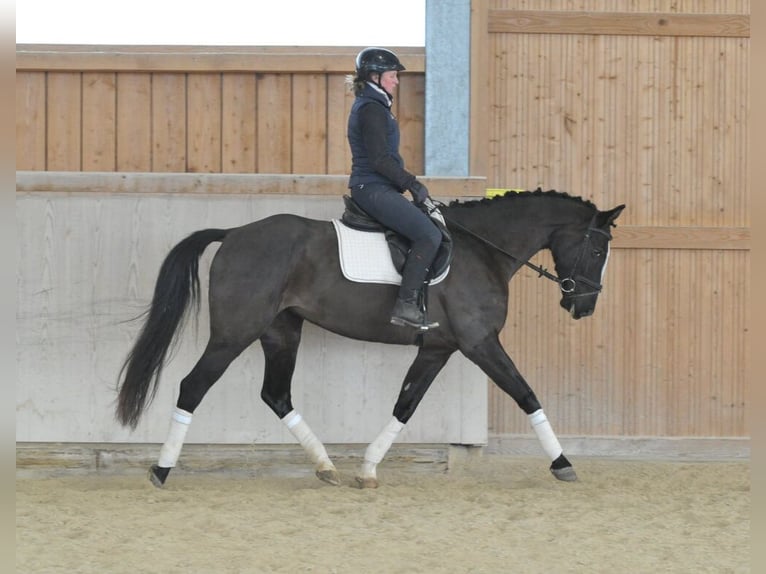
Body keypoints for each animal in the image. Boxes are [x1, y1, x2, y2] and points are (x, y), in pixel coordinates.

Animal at [116, 189, 625, 488]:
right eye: (599, 249)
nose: (584, 307)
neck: (483, 249)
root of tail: (235, 233)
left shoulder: (438, 348)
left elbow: (405, 404)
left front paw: (367, 468)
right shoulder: (480, 343)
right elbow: (527, 394)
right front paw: (562, 463)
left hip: (281, 332)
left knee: (276, 394)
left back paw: (326, 466)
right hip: (234, 333)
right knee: (192, 387)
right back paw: (161, 470)